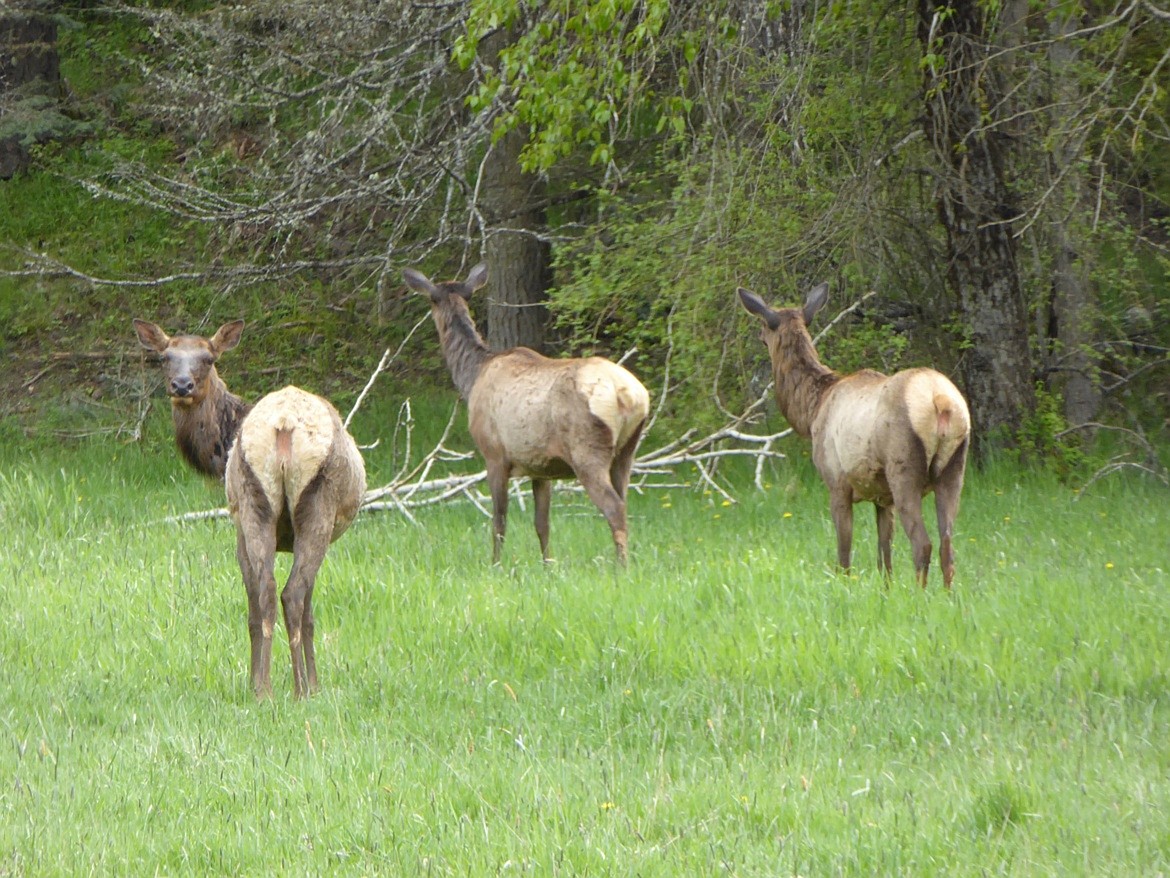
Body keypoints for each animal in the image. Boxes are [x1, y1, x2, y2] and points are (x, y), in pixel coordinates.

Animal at [131, 320, 365, 697]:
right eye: (165, 357)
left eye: (208, 358)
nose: (181, 385)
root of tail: (284, 425)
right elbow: (309, 612)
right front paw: (314, 685)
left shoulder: (238, 520)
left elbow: (254, 605)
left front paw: (256, 680)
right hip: (315, 507)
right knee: (291, 594)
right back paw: (301, 690)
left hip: (256, 502)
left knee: (267, 590)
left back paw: (263, 689)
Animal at [402, 263, 650, 564]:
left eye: (431, 299)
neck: (472, 377)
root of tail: (629, 395)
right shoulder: (541, 466)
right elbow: (542, 524)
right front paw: (548, 565)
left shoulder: (494, 454)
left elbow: (499, 521)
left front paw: (495, 564)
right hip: (627, 451)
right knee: (624, 503)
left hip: (587, 451)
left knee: (614, 508)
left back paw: (621, 568)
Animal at [739, 285, 968, 587]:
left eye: (763, 329)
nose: (759, 339)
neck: (812, 411)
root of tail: (940, 401)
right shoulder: (883, 498)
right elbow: (885, 559)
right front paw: (887, 591)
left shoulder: (836, 482)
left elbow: (844, 554)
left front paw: (843, 587)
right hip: (954, 468)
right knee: (948, 546)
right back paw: (947, 595)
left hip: (904, 468)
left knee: (923, 543)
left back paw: (921, 594)